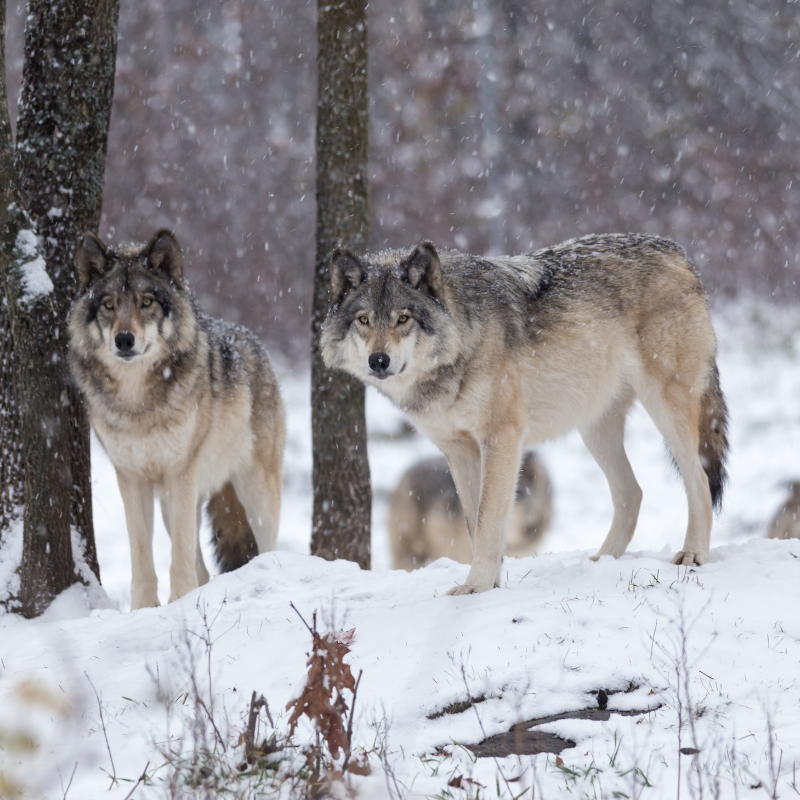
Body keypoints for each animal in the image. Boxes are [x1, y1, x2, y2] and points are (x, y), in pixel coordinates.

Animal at [69, 228, 286, 608]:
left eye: (146, 302)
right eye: (109, 304)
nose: (124, 340)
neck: (138, 401)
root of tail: (253, 341)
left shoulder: (180, 473)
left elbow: (180, 557)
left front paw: (177, 603)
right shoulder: (131, 478)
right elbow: (142, 553)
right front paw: (146, 609)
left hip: (255, 493)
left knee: (266, 549)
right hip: (175, 502)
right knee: (203, 569)